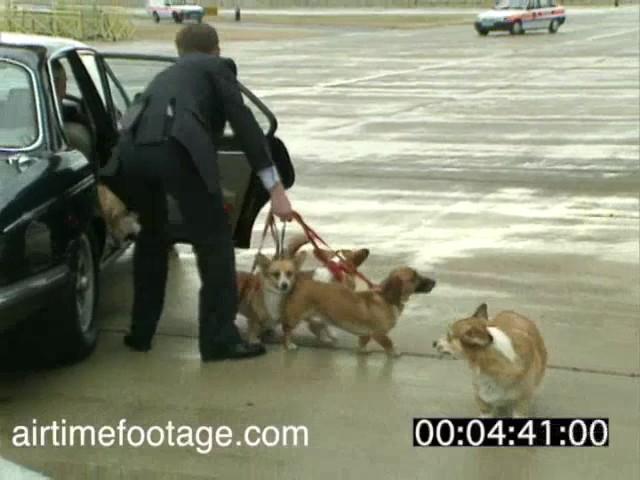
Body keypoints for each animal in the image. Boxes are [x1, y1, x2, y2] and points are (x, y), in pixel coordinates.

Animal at [284, 266, 436, 356]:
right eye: (414, 277)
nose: (434, 282)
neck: (386, 298)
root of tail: (301, 282)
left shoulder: (366, 334)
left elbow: (363, 342)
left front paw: (362, 351)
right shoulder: (379, 334)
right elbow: (389, 343)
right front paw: (395, 352)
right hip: (295, 318)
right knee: (287, 331)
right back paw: (290, 345)